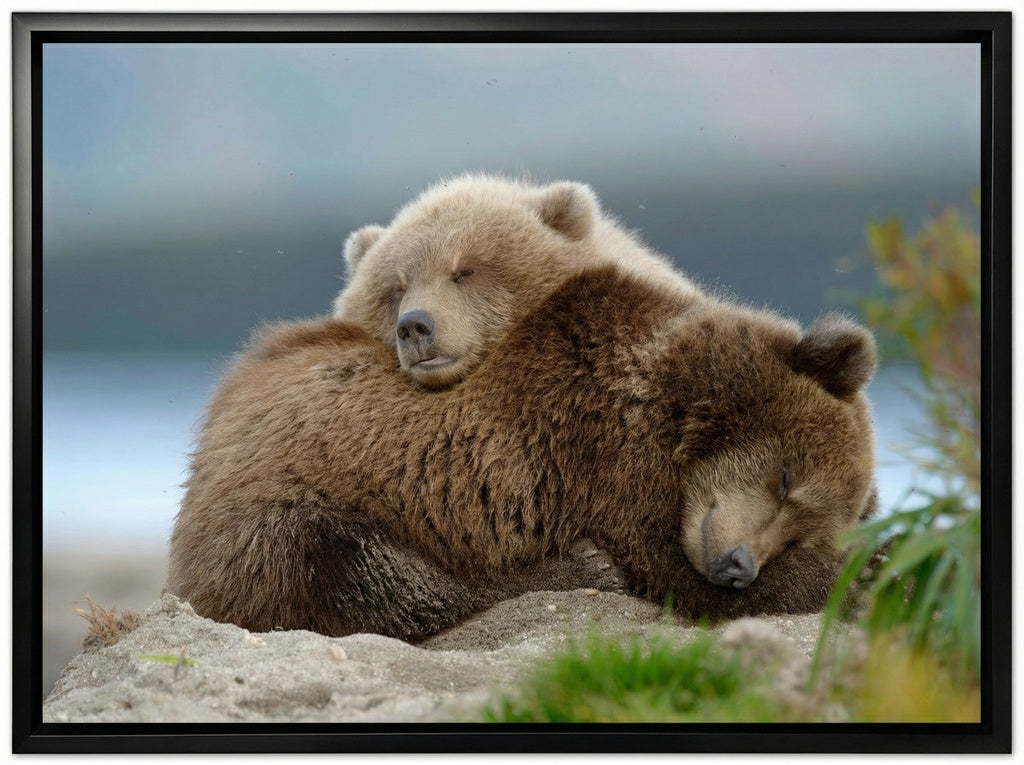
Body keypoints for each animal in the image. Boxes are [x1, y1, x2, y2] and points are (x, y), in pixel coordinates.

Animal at [166, 263, 878, 640]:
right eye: (786, 478)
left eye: (799, 529)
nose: (738, 565)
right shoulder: (601, 451)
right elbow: (665, 566)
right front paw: (868, 570)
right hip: (276, 502)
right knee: (351, 571)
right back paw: (573, 568)